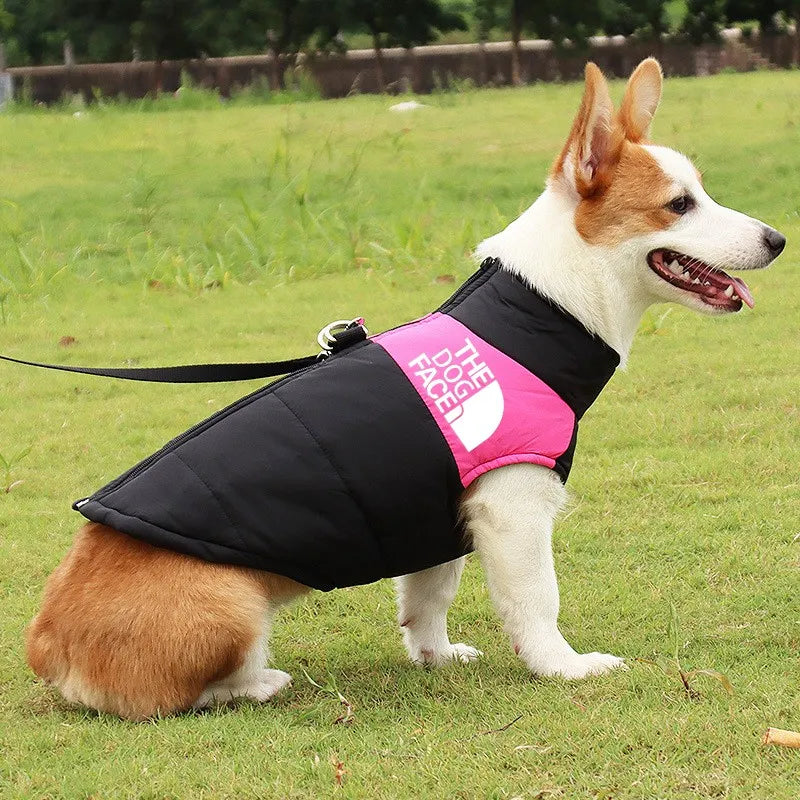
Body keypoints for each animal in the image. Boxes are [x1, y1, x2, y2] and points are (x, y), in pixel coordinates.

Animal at [26, 57, 788, 720]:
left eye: (703, 193)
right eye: (679, 205)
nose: (778, 239)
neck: (542, 309)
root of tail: (44, 643)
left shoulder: (440, 517)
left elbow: (427, 598)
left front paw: (435, 657)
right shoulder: (515, 510)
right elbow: (538, 601)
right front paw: (564, 667)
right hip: (234, 605)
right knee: (184, 693)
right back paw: (262, 681)